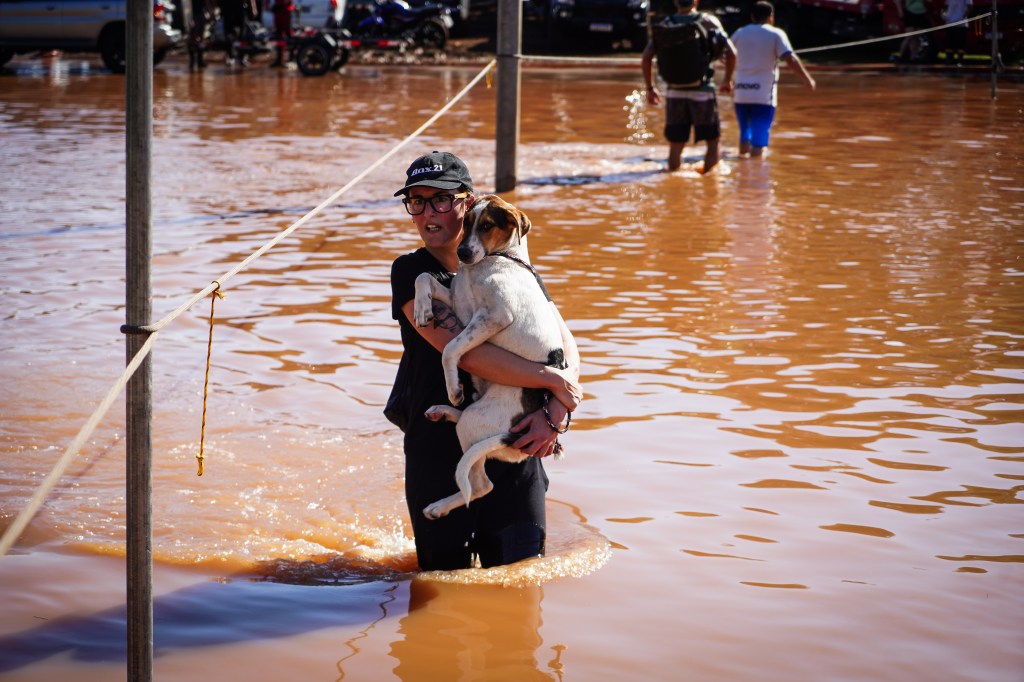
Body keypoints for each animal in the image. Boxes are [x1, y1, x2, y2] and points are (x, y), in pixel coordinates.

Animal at [409, 193, 569, 518]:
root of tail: (519, 443)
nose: (462, 252)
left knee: (481, 485)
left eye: (487, 226)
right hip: (476, 417)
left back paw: (440, 505)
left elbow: (451, 348)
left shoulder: (494, 316)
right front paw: (422, 308)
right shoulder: (455, 299)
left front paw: (453, 388)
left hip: (477, 419)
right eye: (466, 222)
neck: (496, 259)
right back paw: (444, 411)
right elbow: (423, 277)